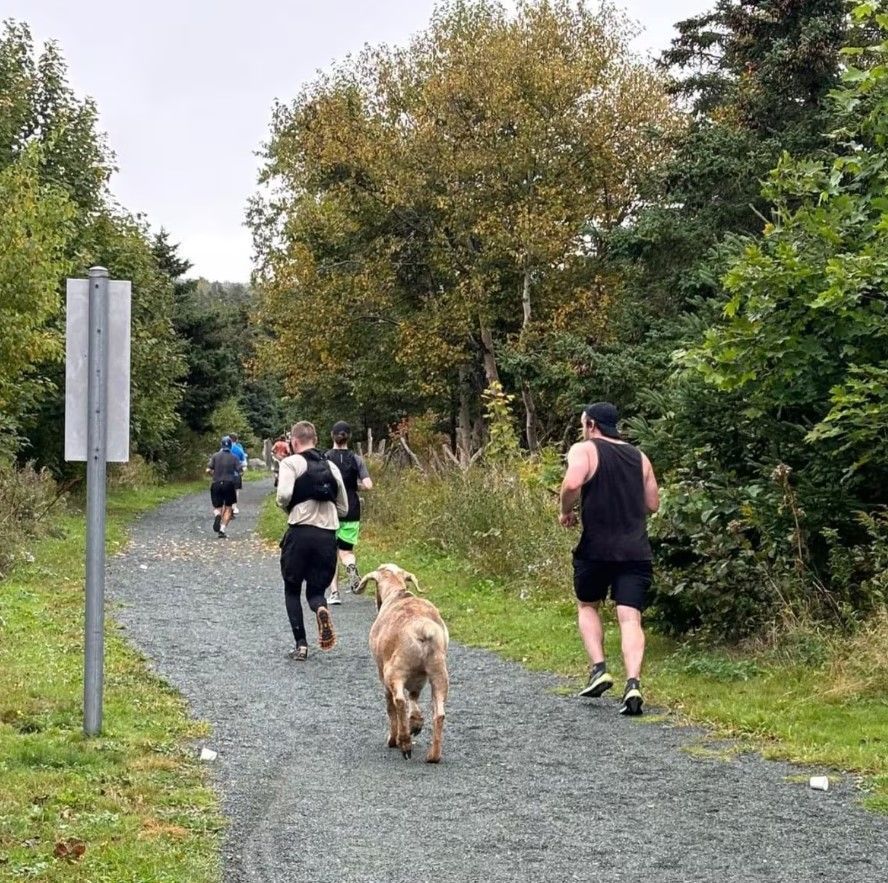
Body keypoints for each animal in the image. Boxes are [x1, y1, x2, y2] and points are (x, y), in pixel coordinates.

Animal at [356, 568, 450, 764]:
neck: (397, 594)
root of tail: (422, 629)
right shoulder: (419, 678)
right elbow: (414, 698)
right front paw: (416, 723)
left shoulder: (382, 673)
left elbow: (391, 706)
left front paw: (394, 738)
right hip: (438, 672)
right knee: (439, 713)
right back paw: (433, 755)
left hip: (394, 671)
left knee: (399, 701)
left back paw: (404, 742)